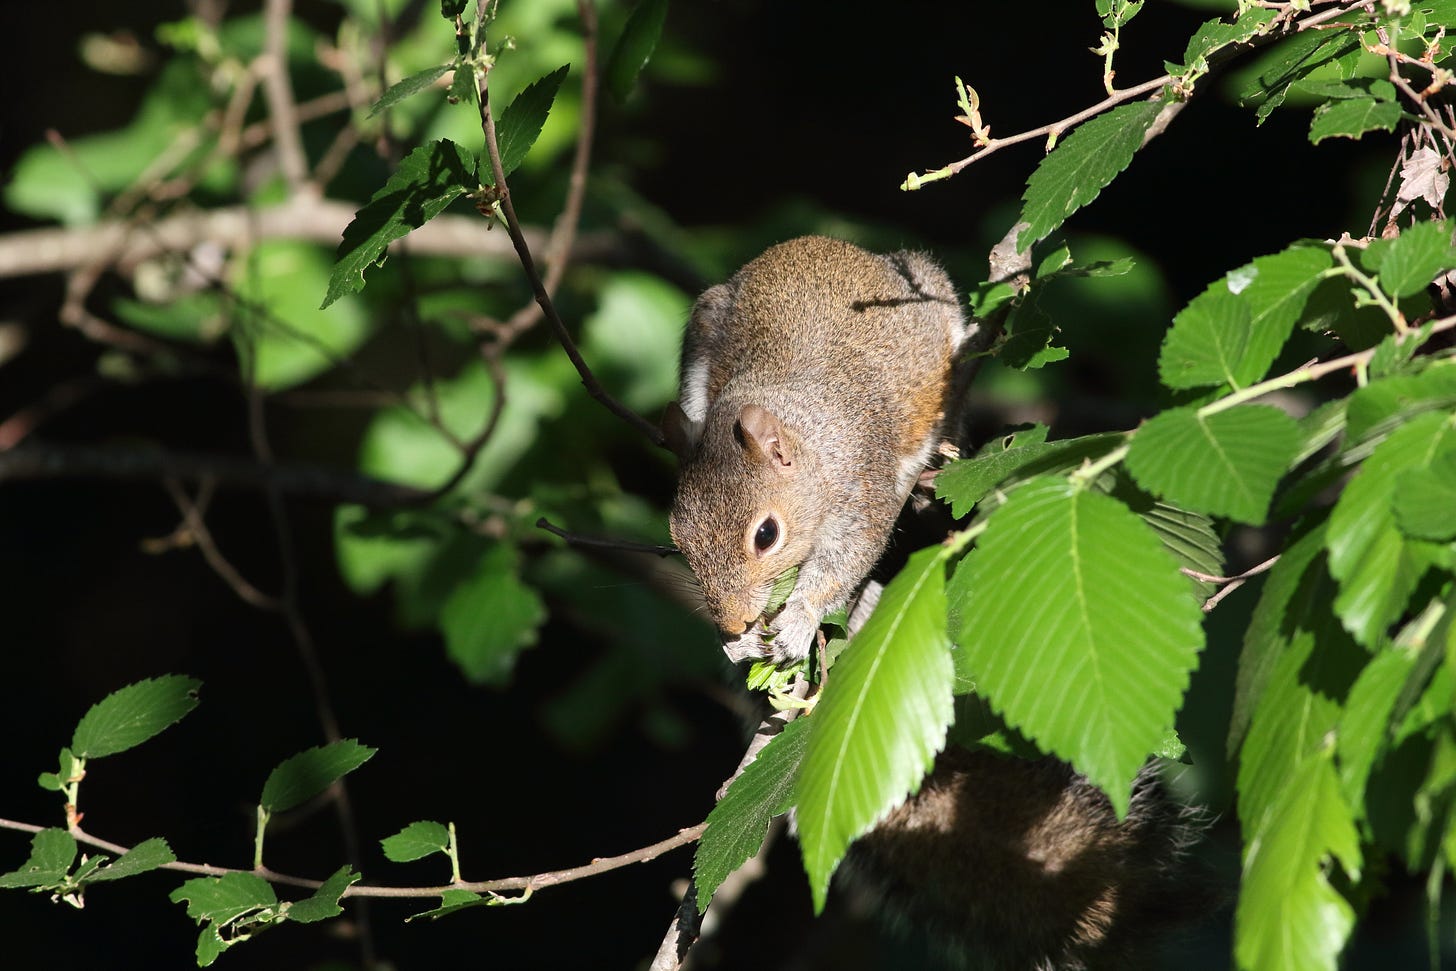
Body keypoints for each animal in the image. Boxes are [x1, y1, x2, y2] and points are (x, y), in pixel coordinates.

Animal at [664, 235, 967, 664]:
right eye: (678, 540)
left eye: (766, 535)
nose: (734, 622)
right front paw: (738, 642)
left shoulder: (861, 487)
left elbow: (845, 560)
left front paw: (798, 619)